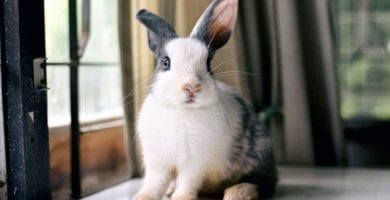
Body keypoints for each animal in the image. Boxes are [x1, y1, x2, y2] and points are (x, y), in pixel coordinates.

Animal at [134, 0, 278, 200]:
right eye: (165, 62)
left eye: (208, 64)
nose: (191, 86)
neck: (182, 111)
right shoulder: (157, 162)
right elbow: (154, 183)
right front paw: (142, 197)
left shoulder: (195, 163)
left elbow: (187, 183)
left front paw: (181, 198)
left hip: (258, 155)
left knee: (262, 183)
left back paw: (237, 193)